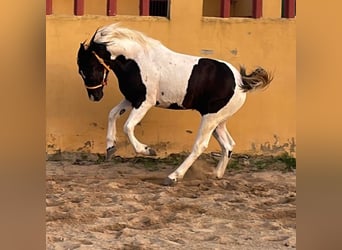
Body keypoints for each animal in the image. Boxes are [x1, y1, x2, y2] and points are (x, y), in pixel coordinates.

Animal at [77, 23, 272, 186]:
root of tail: (242, 81)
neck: (137, 60)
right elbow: (112, 114)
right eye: (81, 70)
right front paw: (110, 148)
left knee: (200, 146)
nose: (95, 96)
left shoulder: (145, 102)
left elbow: (127, 127)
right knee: (228, 144)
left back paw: (173, 177)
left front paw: (148, 150)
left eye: (90, 68)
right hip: (219, 121)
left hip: (211, 118)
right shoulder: (131, 99)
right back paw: (215, 174)